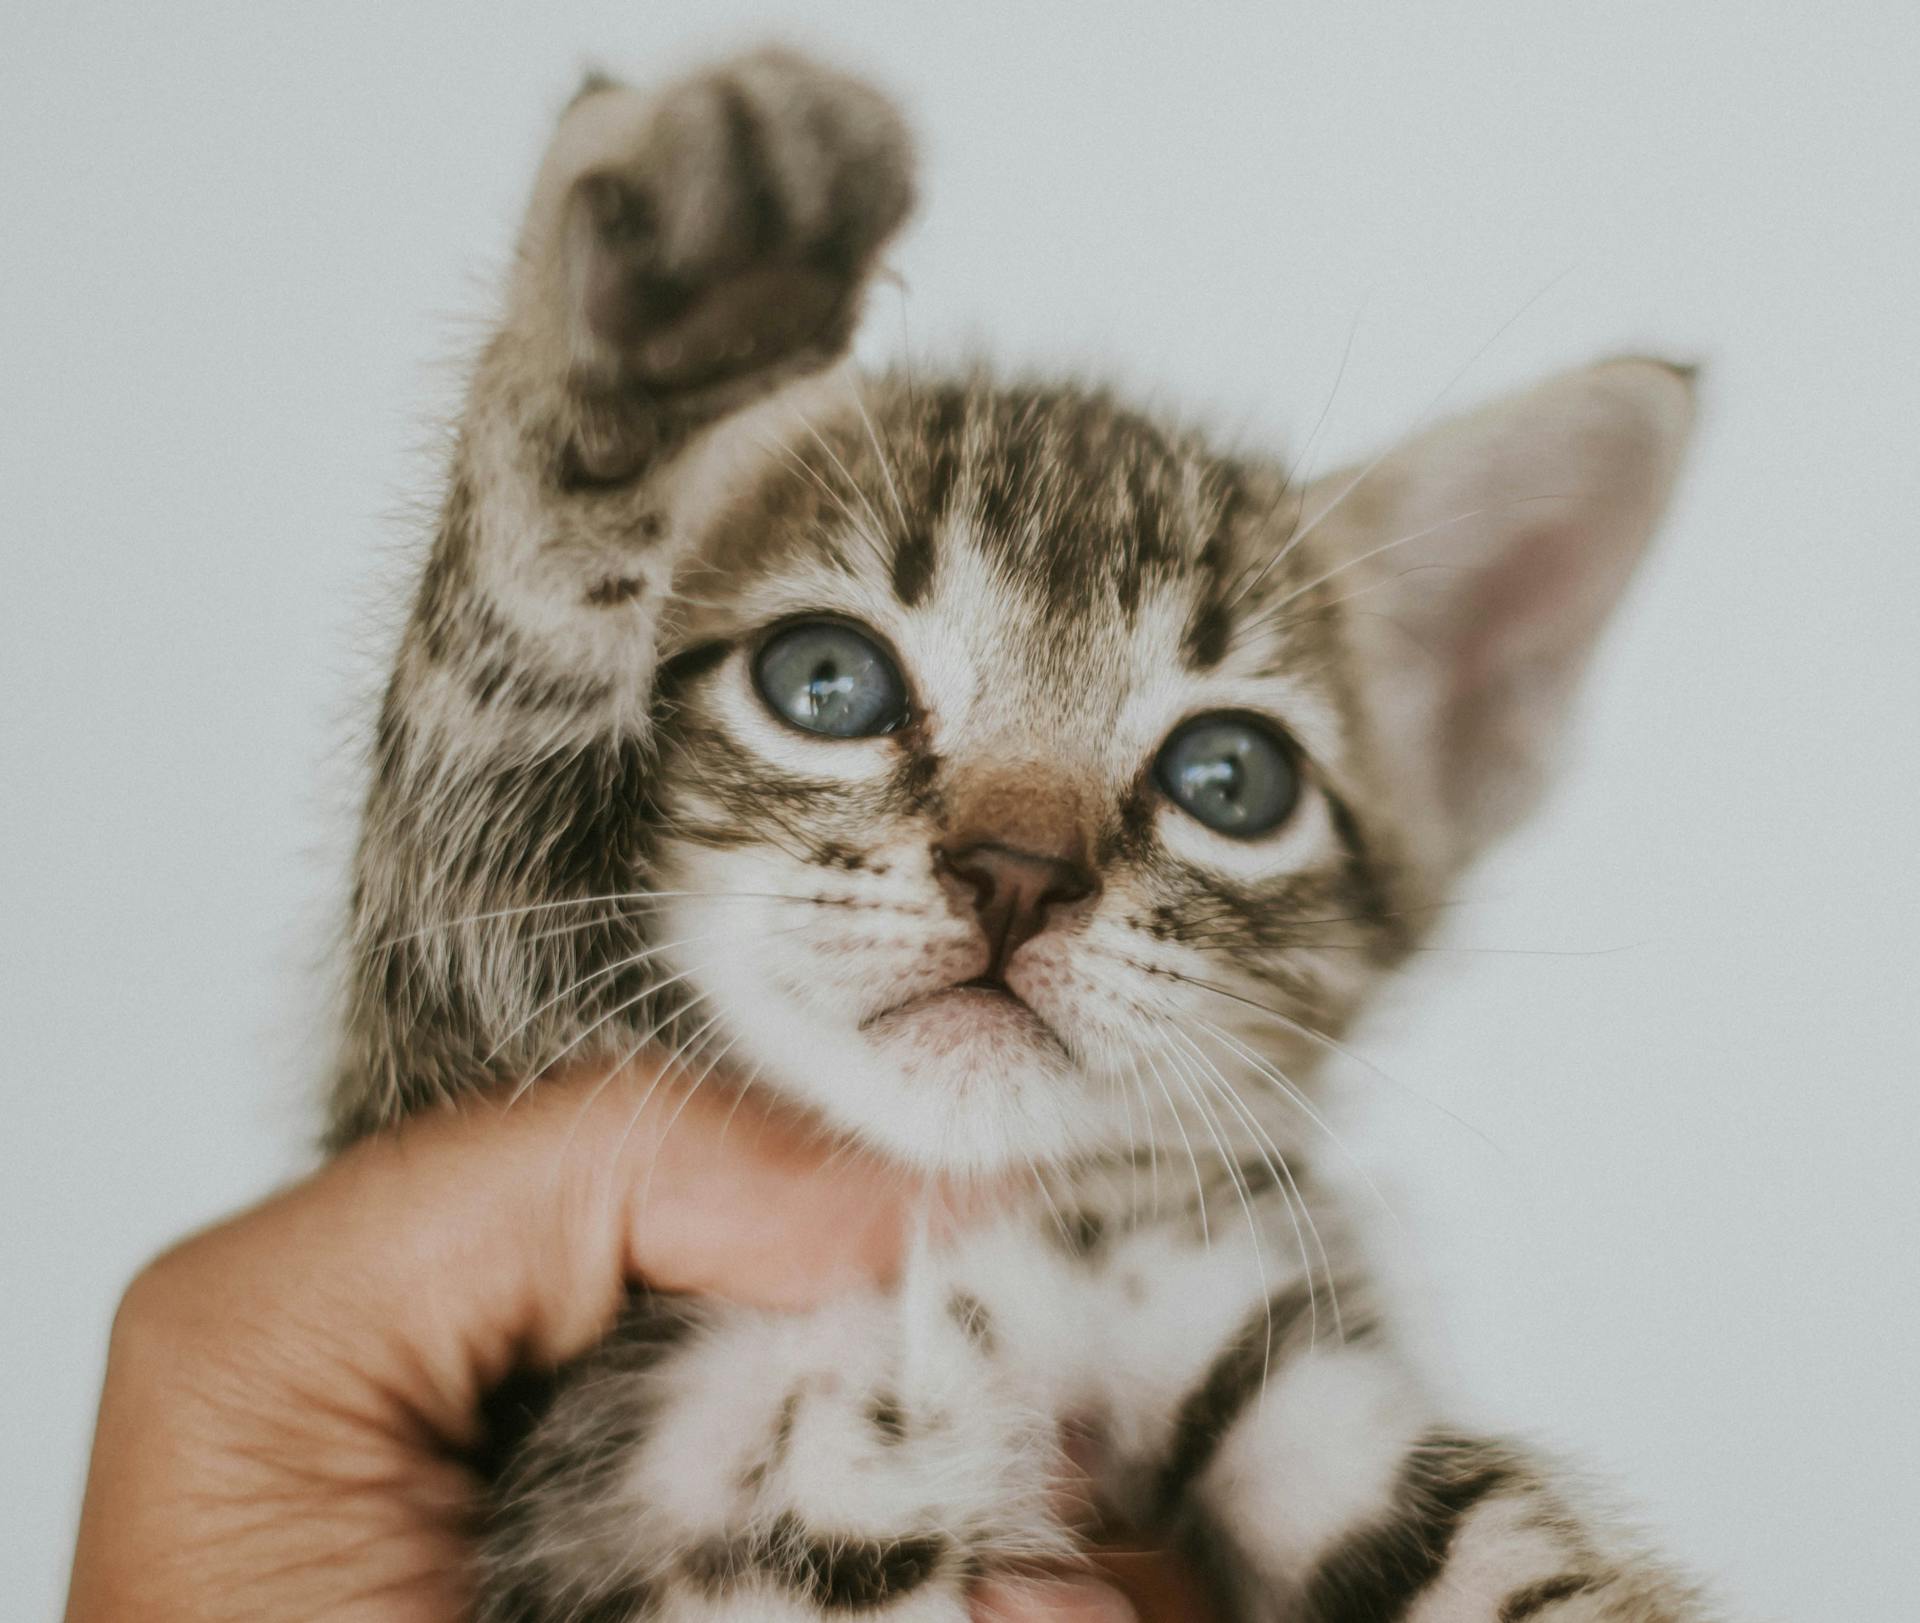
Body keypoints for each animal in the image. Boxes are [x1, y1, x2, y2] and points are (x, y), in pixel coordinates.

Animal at [334, 47, 1728, 1621]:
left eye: (1231, 778)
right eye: (827, 682)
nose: (1018, 874)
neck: (964, 1228)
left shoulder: (1249, 1342)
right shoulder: (447, 1036)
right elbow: (488, 675)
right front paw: (685, 290)